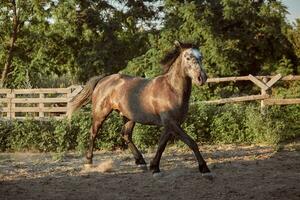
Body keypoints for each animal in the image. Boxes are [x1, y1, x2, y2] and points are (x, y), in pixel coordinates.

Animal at [67, 41, 212, 177]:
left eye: (201, 57)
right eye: (188, 57)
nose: (202, 78)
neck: (172, 90)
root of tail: (103, 80)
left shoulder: (170, 124)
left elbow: (161, 145)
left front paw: (154, 167)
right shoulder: (171, 122)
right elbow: (191, 142)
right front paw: (204, 168)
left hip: (129, 117)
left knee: (125, 135)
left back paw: (141, 162)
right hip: (100, 113)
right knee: (93, 132)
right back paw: (89, 162)